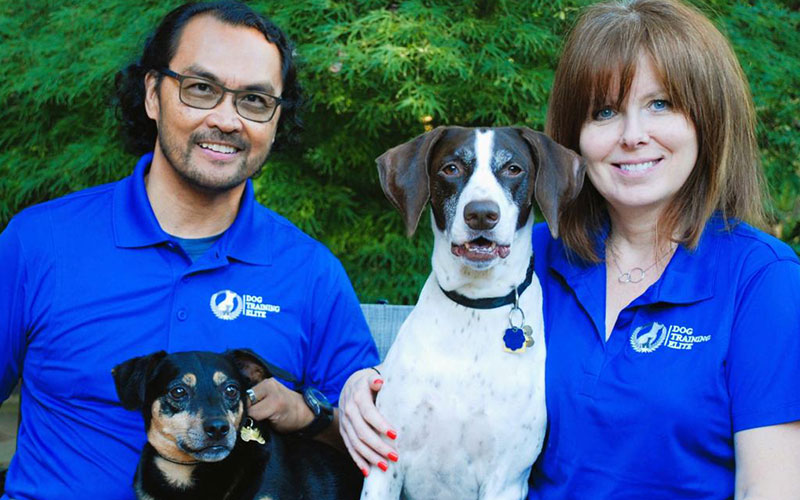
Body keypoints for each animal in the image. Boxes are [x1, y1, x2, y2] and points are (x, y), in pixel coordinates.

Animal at [362, 127, 580, 498]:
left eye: (513, 169)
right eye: (451, 168)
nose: (481, 213)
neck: (473, 308)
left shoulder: (505, 479)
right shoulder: (384, 464)